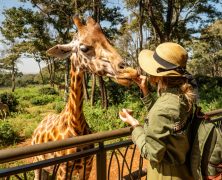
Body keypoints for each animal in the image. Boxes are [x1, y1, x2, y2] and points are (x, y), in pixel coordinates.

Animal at [31, 16, 138, 179]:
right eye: (84, 48)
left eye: (108, 41)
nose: (128, 72)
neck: (76, 126)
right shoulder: (63, 170)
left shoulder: (87, 166)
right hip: (38, 164)